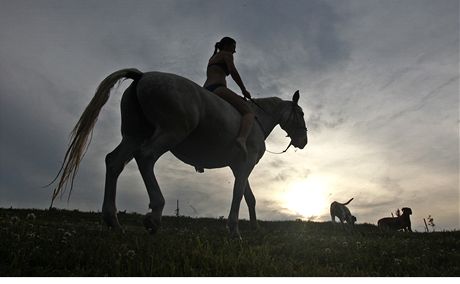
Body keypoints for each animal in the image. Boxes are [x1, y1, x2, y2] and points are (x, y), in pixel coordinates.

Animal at [52, 67, 308, 239]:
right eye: (302, 114)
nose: (304, 141)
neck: (256, 119)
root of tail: (143, 76)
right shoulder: (245, 165)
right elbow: (238, 195)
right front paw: (235, 231)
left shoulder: (239, 167)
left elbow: (249, 197)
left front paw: (254, 228)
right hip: (169, 133)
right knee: (145, 157)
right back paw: (154, 215)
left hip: (133, 136)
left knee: (114, 162)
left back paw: (113, 220)